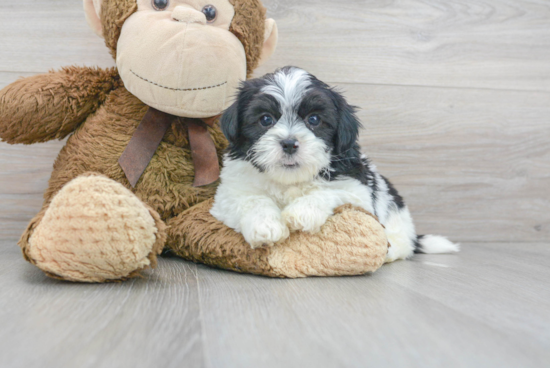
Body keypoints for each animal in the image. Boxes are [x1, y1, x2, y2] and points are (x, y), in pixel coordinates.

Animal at [212, 66, 462, 262]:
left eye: (314, 119)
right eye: (265, 119)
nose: (290, 143)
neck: (290, 181)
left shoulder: (357, 190)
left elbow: (329, 191)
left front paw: (303, 212)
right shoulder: (229, 192)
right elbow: (252, 199)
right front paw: (265, 226)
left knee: (402, 245)